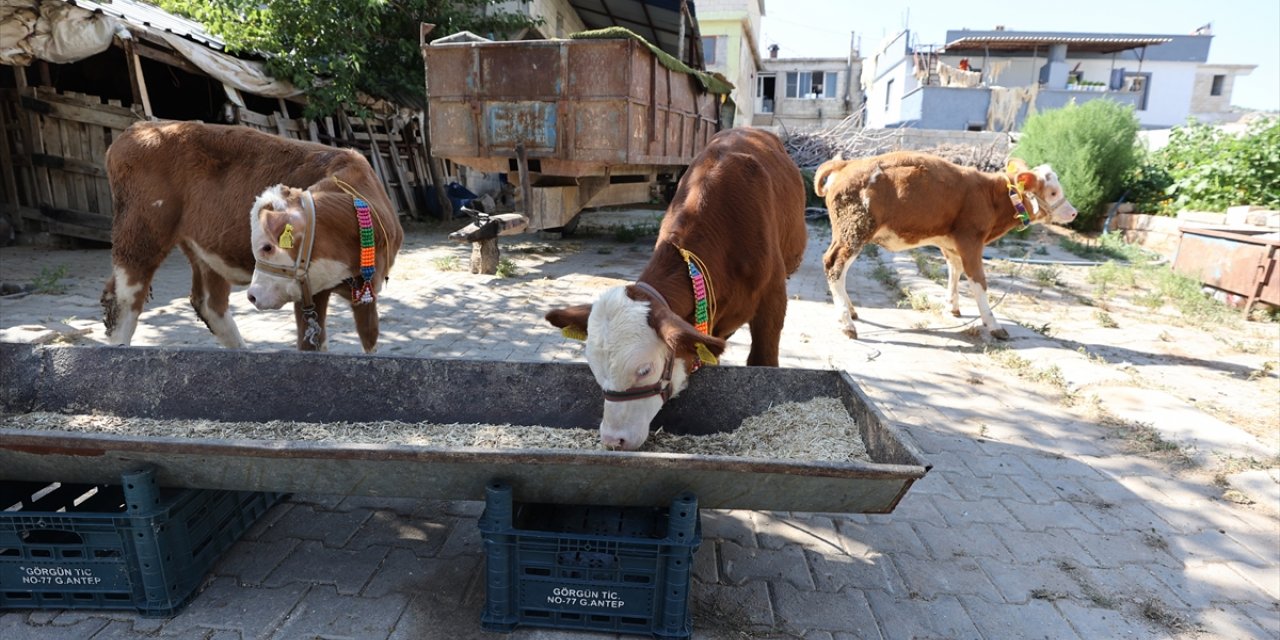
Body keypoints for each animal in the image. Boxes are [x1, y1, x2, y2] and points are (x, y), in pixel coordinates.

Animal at [101, 122, 401, 353]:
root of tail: (139, 128)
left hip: (202, 247)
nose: (252, 296)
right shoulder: (311, 295)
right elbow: (312, 346)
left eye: (267, 247)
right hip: (140, 233)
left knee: (209, 303)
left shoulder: (367, 292)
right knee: (124, 299)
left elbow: (371, 340)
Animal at [814, 151, 1075, 340]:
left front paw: (953, 307)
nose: (1074, 213)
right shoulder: (971, 240)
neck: (992, 196)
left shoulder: (951, 244)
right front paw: (992, 324)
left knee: (838, 269)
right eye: (1053, 192)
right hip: (854, 230)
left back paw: (850, 311)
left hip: (851, 232)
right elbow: (978, 282)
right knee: (834, 266)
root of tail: (847, 164)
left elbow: (954, 271)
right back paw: (846, 323)